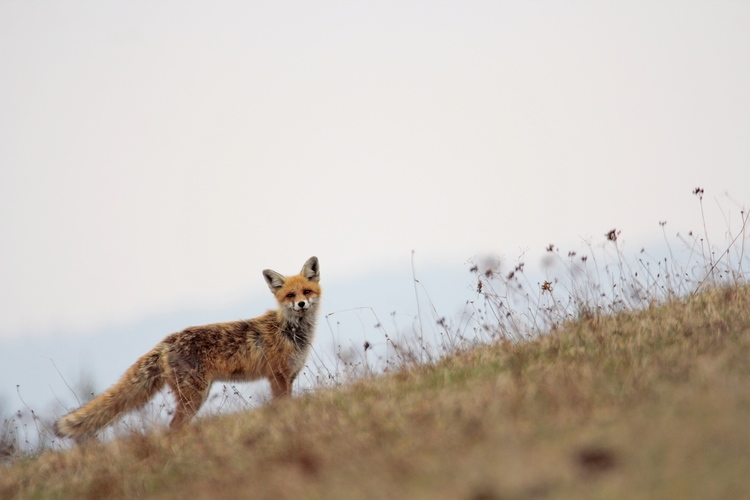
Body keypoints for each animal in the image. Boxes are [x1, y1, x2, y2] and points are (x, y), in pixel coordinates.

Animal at [53, 258, 324, 442]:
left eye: (307, 291)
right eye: (290, 295)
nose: (301, 304)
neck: (289, 331)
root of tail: (166, 341)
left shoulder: (288, 377)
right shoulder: (277, 376)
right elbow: (283, 407)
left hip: (195, 396)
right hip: (194, 396)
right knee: (174, 426)